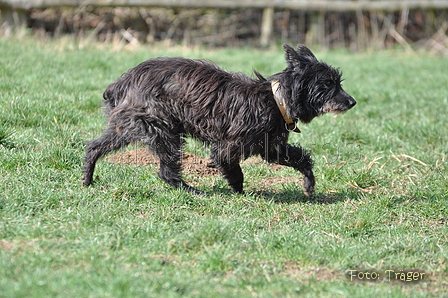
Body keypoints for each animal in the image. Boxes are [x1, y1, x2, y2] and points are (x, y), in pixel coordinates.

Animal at [82, 44, 356, 197]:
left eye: (337, 82)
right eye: (327, 83)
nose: (352, 102)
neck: (276, 99)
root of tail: (122, 82)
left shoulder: (272, 147)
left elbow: (302, 159)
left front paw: (309, 185)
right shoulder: (227, 147)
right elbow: (234, 170)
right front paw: (240, 193)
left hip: (127, 128)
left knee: (94, 146)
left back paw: (87, 179)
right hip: (163, 131)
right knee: (166, 172)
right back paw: (194, 192)